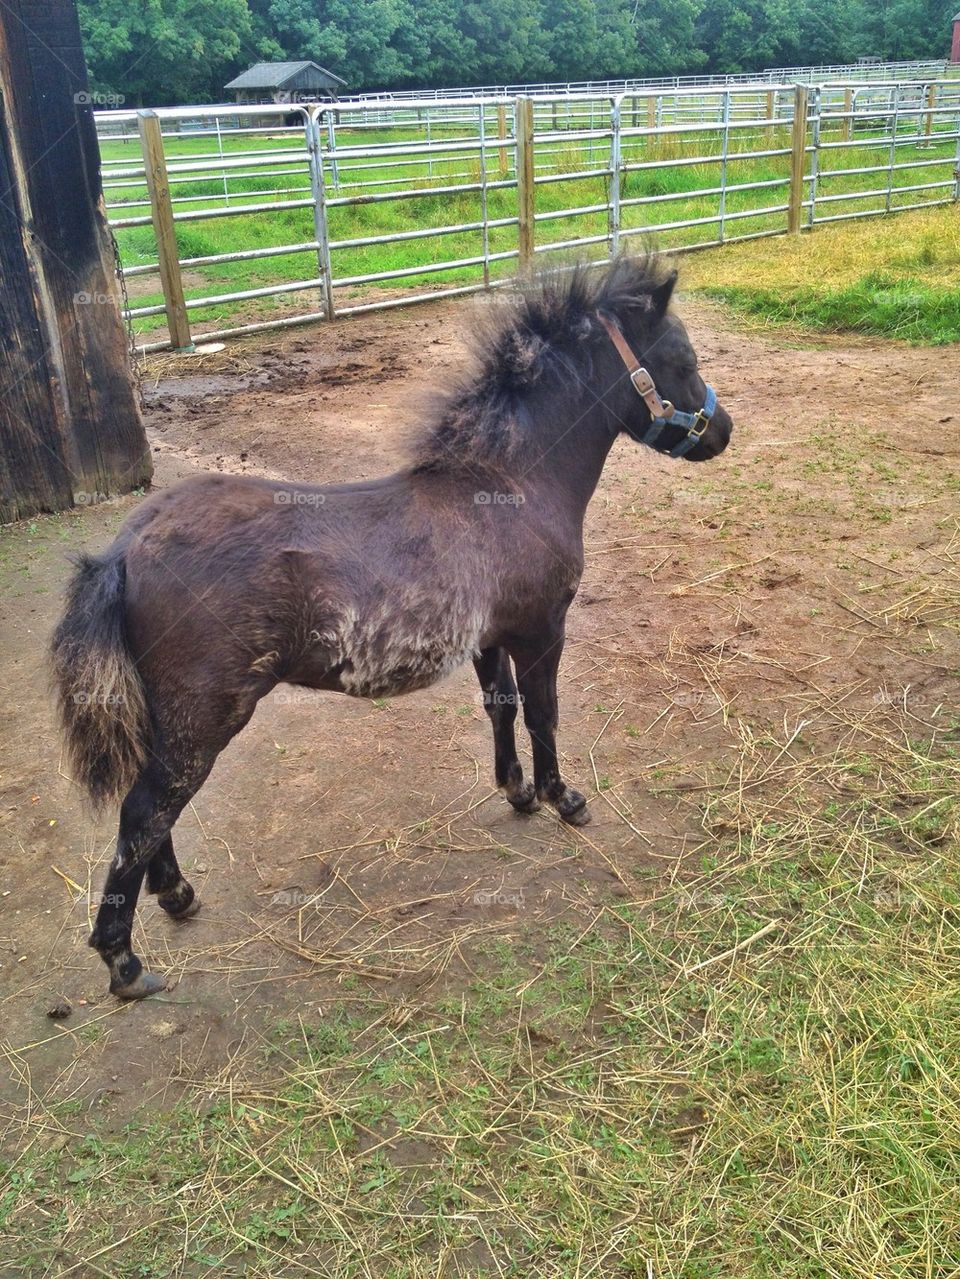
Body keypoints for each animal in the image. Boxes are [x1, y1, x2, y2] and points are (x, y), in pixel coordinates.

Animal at [51, 255, 733, 999]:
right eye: (681, 359)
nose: (723, 432)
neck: (507, 485)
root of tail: (124, 550)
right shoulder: (541, 630)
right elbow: (544, 713)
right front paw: (565, 798)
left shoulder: (491, 638)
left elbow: (501, 708)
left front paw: (519, 792)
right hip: (204, 714)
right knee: (145, 809)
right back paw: (124, 962)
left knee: (152, 808)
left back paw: (176, 894)